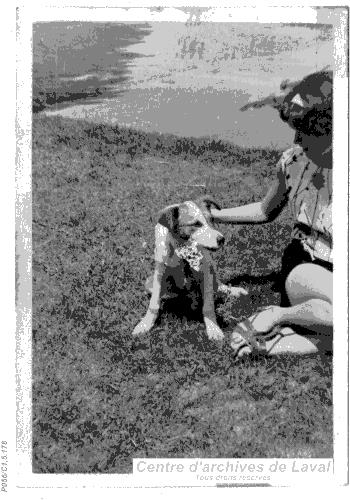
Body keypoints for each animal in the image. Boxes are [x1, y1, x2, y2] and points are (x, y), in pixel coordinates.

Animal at [132, 197, 249, 342]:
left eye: (211, 219)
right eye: (196, 224)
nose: (222, 239)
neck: (182, 250)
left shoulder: (205, 271)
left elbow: (208, 306)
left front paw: (213, 328)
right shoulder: (159, 272)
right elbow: (154, 304)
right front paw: (145, 324)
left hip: (211, 266)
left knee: (217, 286)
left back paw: (232, 290)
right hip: (149, 282)